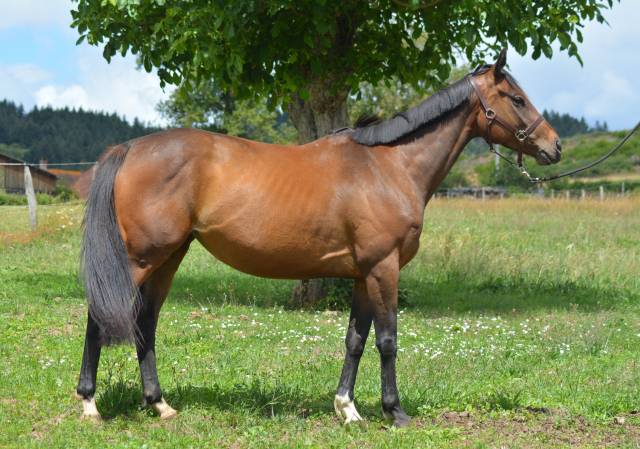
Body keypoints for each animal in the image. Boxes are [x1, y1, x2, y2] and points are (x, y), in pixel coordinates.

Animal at [76, 49, 561, 427]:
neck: (389, 167)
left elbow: (356, 340)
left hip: (169, 257)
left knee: (146, 323)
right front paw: (395, 411)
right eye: (516, 98)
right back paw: (90, 405)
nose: (554, 146)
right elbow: (388, 340)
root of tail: (130, 149)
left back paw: (160, 405)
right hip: (139, 259)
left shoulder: (363, 273)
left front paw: (347, 409)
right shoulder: (383, 268)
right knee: (101, 319)